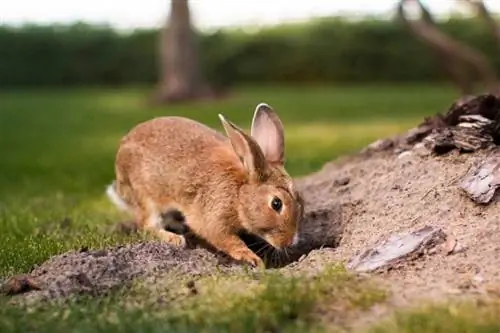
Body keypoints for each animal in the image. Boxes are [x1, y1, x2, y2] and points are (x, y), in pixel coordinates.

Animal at [106, 102, 302, 266]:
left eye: (299, 199)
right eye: (276, 204)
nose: (291, 241)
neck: (239, 193)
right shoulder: (213, 217)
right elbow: (225, 239)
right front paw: (252, 259)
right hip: (146, 197)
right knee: (147, 225)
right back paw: (174, 238)